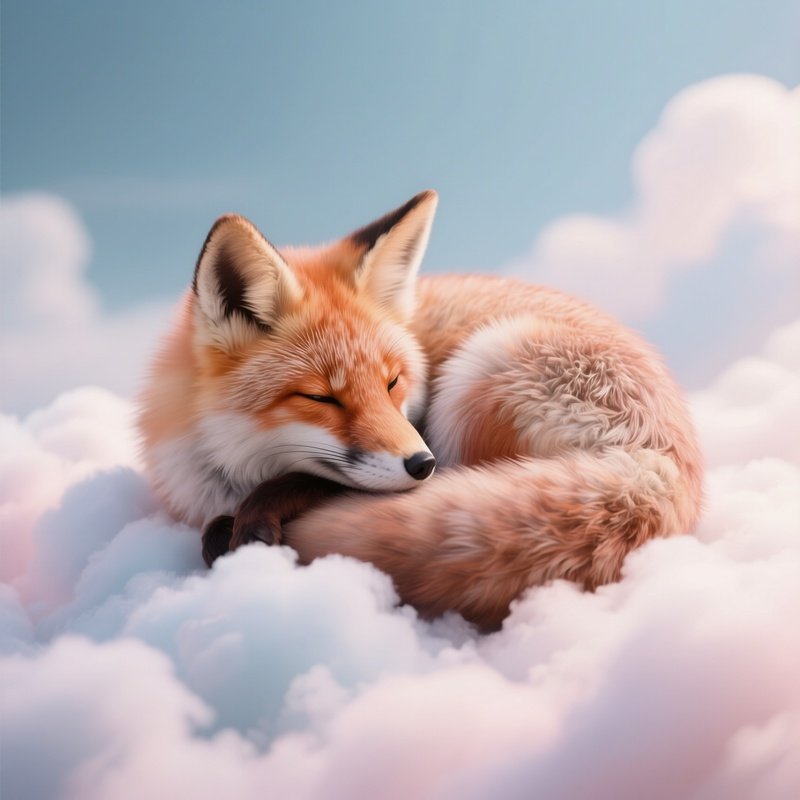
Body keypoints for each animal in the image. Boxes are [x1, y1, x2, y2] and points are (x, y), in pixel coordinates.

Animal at [138, 190, 703, 629]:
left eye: (392, 383)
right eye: (321, 397)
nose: (421, 464)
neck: (230, 473)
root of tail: (665, 460)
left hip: (479, 370)